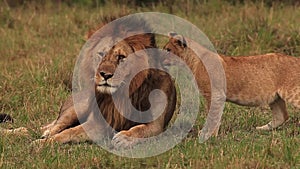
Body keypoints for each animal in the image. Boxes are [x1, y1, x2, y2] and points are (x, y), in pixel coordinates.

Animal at [38, 17, 177, 148]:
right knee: (58, 123)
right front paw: (41, 144)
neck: (122, 95)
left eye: (121, 57)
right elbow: (69, 132)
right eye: (101, 54)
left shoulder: (156, 125)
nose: (105, 75)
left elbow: (140, 129)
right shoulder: (98, 122)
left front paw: (124, 137)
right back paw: (46, 132)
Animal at [164, 32, 300, 136]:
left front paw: (209, 136)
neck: (193, 61)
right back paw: (260, 129)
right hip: (275, 98)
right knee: (282, 116)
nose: (160, 56)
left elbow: (213, 116)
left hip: (292, 92)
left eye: (168, 50)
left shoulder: (216, 95)